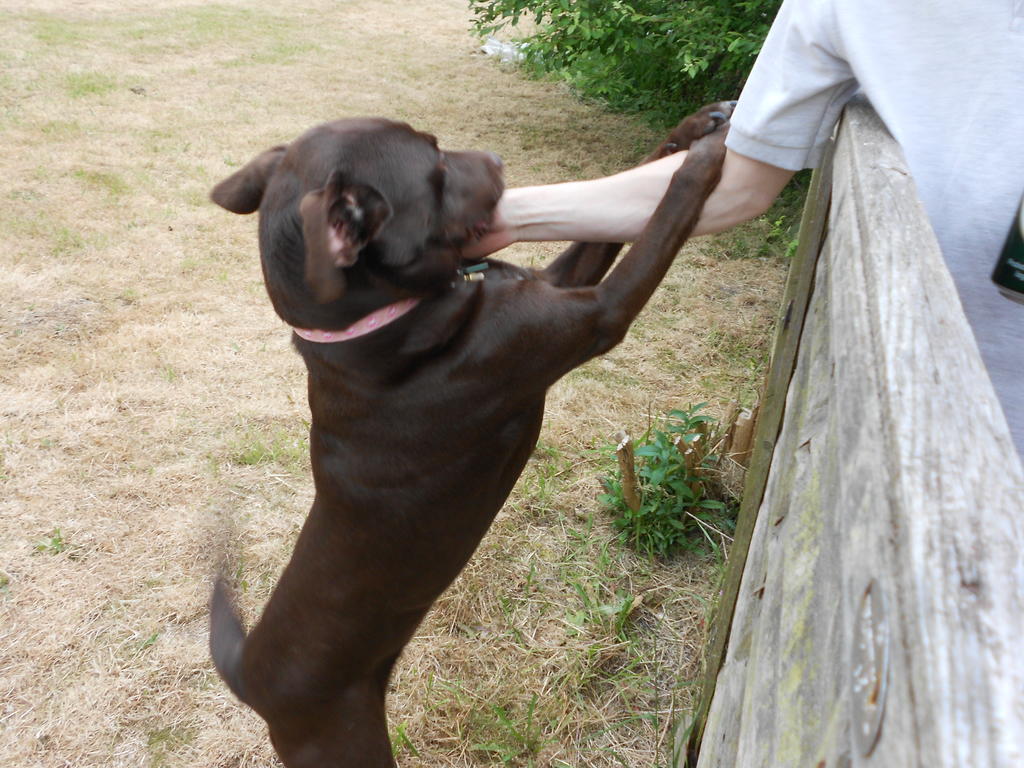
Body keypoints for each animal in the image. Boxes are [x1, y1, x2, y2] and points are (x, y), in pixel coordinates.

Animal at [208, 101, 732, 767]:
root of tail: (249, 675)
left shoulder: (551, 284)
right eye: (434, 164)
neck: (374, 328)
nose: (498, 161)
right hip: (346, 742)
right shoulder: (597, 314)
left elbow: (605, 226)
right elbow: (662, 222)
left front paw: (696, 127)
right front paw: (704, 160)